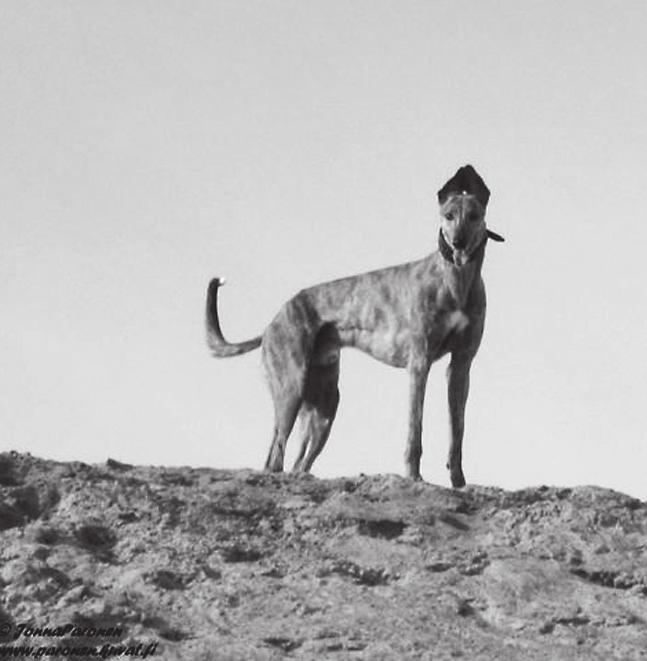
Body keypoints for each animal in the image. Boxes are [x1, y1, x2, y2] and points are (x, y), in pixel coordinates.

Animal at [205, 165, 504, 484]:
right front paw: (413, 476)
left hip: (323, 406)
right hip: (290, 389)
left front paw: (458, 482)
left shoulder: (461, 365)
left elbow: (456, 432)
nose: (459, 243)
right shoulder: (419, 363)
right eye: (448, 215)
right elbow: (415, 431)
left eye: (474, 216)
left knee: (297, 462)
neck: (454, 282)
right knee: (275, 456)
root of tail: (270, 325)